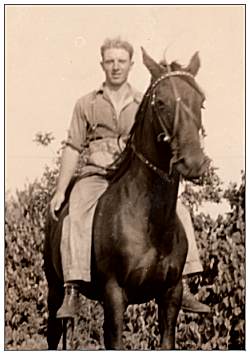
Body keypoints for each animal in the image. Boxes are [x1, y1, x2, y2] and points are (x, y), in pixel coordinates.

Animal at [44, 48, 210, 350]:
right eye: (161, 103)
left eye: (200, 102)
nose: (193, 162)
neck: (148, 221)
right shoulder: (114, 295)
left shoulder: (171, 294)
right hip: (54, 290)